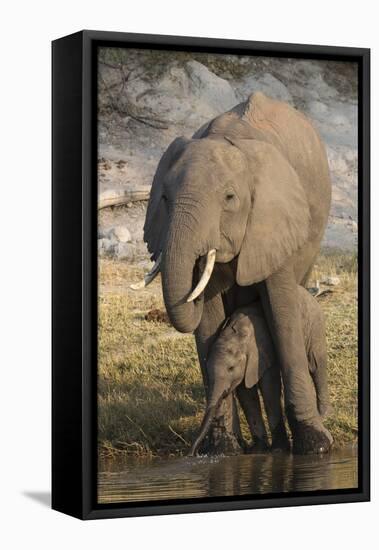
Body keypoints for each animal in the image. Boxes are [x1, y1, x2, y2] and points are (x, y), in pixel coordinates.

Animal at [190, 286, 332, 460]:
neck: (237, 336)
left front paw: (278, 450)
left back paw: (322, 414)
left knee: (316, 364)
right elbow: (245, 391)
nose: (194, 453)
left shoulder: (262, 351)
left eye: (231, 368)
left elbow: (269, 386)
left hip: (314, 322)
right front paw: (258, 450)